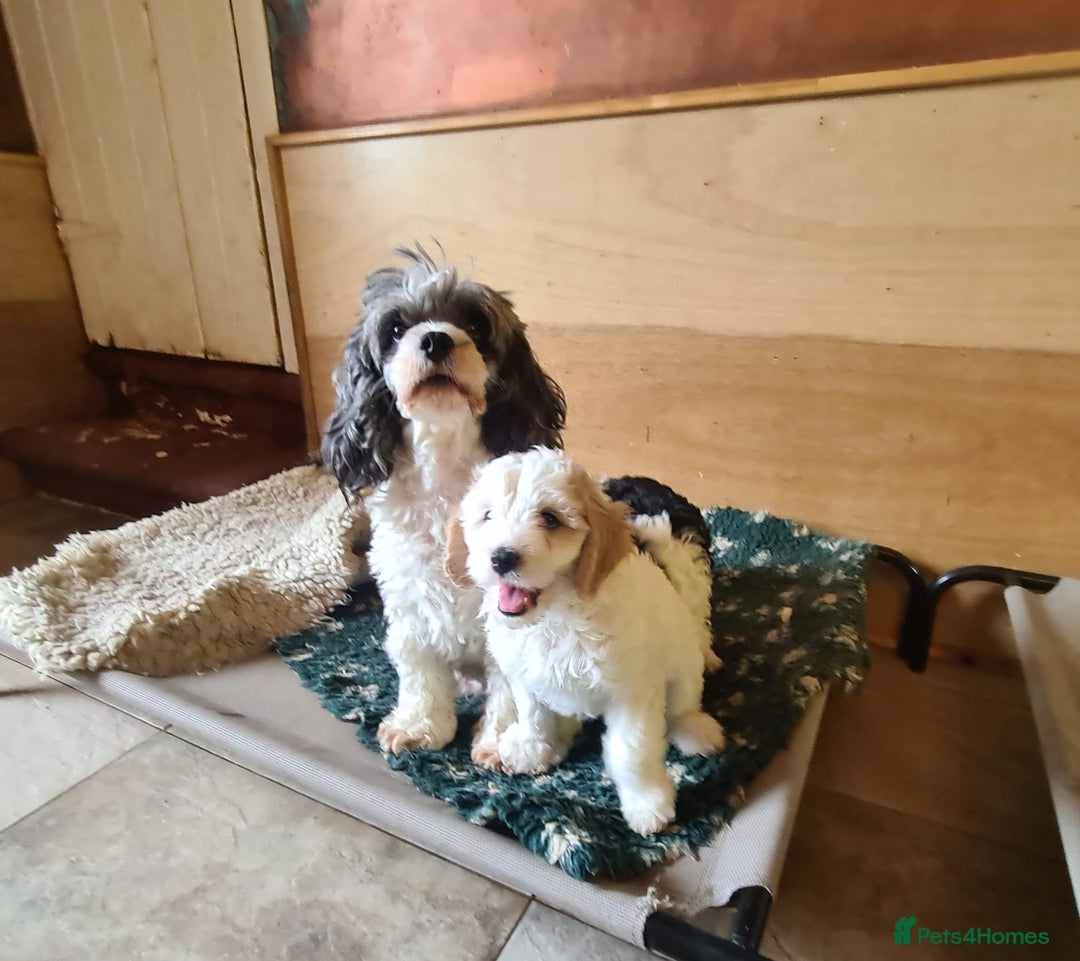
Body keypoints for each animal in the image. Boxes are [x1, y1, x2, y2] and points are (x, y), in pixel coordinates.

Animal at [320, 245, 566, 762]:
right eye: (396, 328)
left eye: (473, 323)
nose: (434, 339)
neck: (445, 470)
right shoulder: (409, 595)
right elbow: (418, 669)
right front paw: (419, 726)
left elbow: (508, 682)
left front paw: (501, 740)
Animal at [446, 447, 725, 835]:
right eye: (487, 516)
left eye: (550, 518)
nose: (501, 557)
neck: (557, 614)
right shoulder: (523, 669)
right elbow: (532, 710)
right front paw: (531, 746)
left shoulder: (633, 691)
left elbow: (630, 749)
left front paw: (646, 803)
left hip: (684, 642)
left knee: (686, 689)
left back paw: (696, 729)